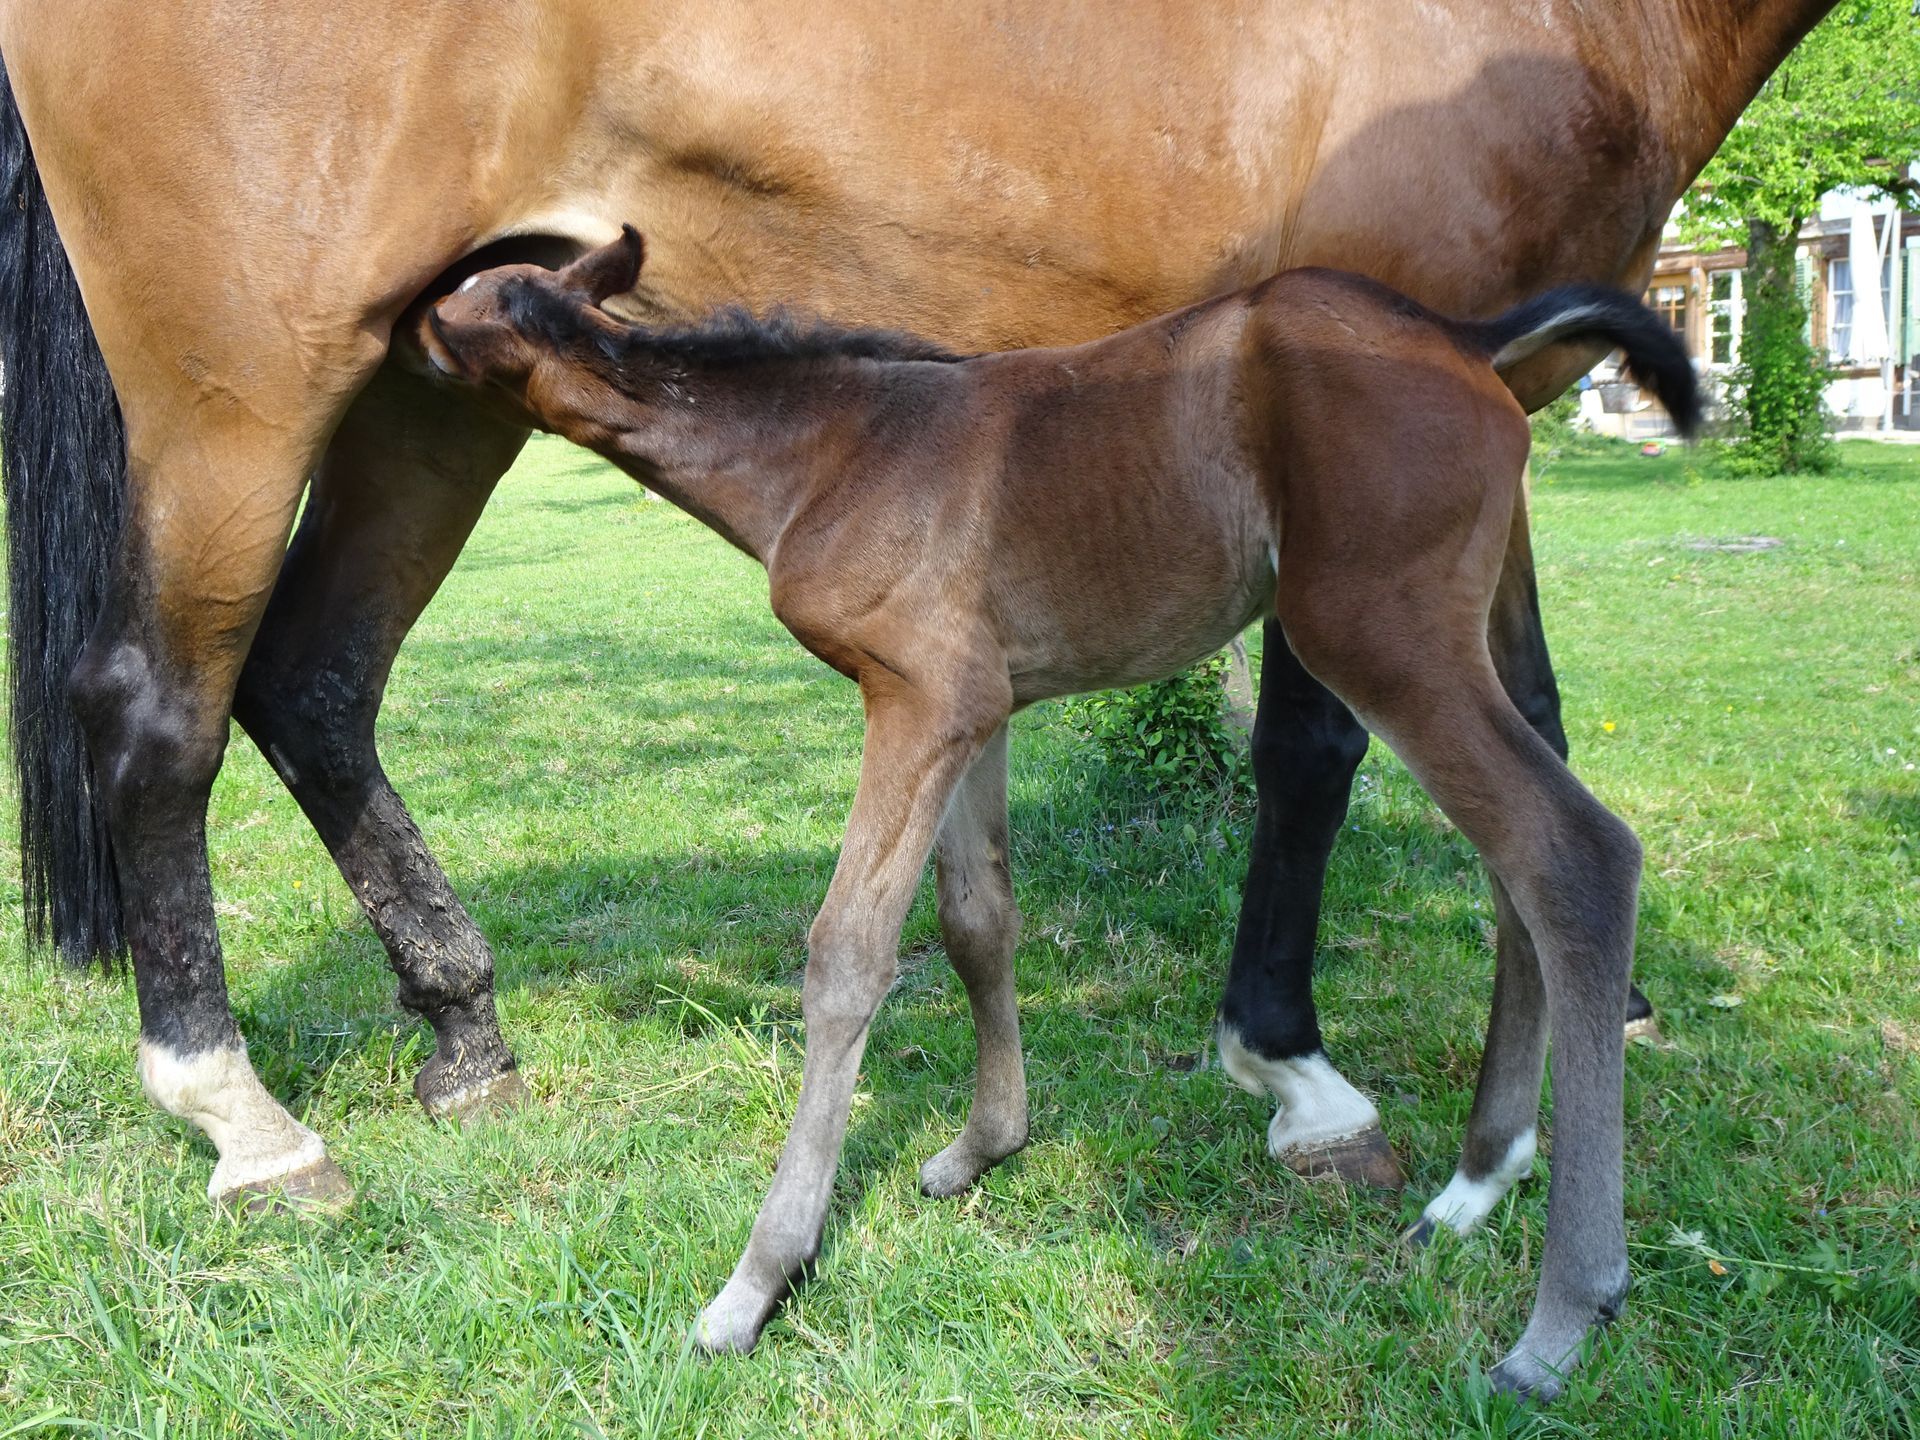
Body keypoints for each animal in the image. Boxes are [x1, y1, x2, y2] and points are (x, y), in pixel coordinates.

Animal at [0, 1, 1831, 1223]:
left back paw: (464, 1030)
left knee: (315, 683)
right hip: (245, 392)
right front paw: (1290, 1065)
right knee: (158, 711)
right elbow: (1319, 748)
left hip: (424, 389)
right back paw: (240, 1113)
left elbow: (1527, 724)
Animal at [414, 228, 1699, 1395]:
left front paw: (757, 1283)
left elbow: (848, 955)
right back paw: (1478, 1183)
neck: (826, 450)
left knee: (1572, 852)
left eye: (466, 297)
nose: (406, 327)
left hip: (1375, 630)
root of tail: (1467, 341)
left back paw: (1561, 1318)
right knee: (1516, 858)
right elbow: (978, 920)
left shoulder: (918, 697)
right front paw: (984, 1149)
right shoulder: (977, 706)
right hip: (1469, 625)